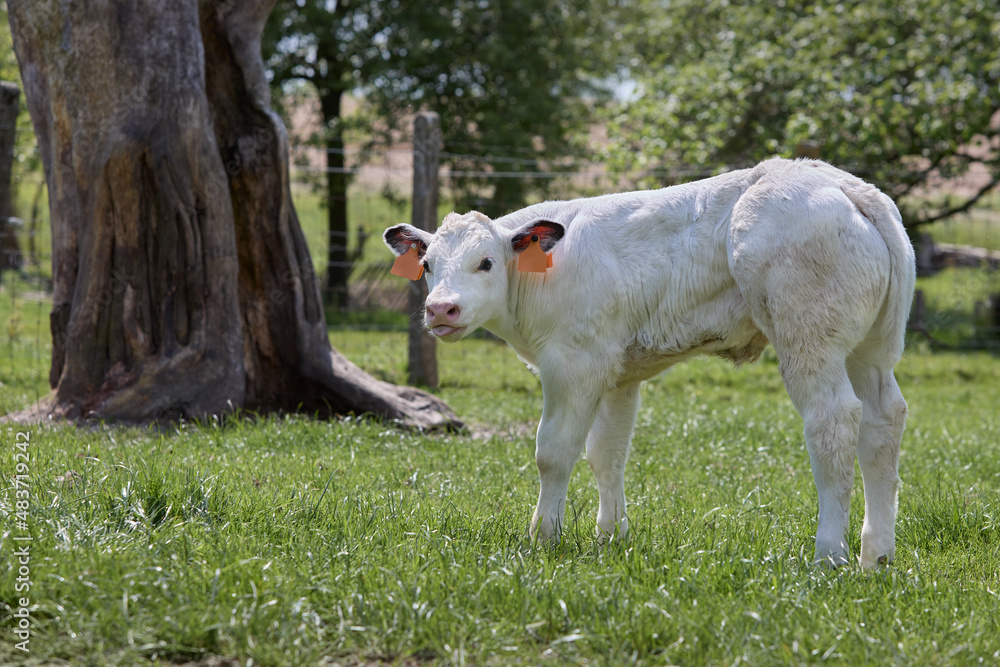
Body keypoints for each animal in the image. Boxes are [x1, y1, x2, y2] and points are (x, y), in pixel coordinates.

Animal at [383, 158, 915, 568]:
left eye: (487, 262)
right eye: (427, 264)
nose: (441, 310)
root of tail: (840, 181)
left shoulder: (573, 364)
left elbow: (554, 451)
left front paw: (544, 538)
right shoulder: (618, 373)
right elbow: (607, 453)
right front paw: (610, 537)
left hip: (808, 337)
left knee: (833, 421)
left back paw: (829, 554)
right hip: (871, 350)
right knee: (882, 423)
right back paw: (876, 555)